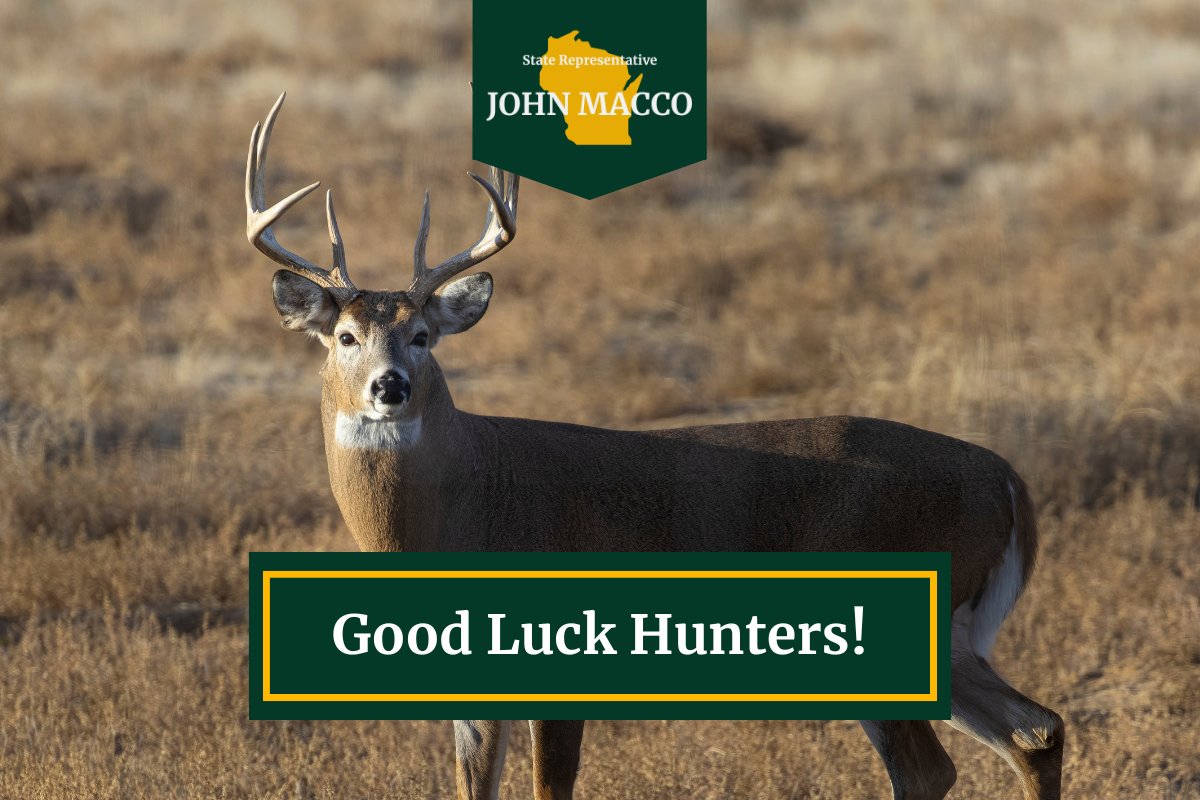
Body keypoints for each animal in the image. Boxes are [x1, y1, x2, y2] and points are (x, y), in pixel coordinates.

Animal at [245, 93, 1064, 800]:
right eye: (345, 336)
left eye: (421, 335)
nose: (391, 386)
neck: (465, 504)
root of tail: (1009, 481)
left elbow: (551, 786)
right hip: (955, 641)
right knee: (1034, 729)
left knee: (936, 765)